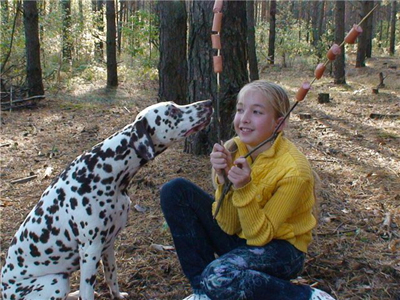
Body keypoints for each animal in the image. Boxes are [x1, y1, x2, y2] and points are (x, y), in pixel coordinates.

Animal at [0, 100, 212, 300]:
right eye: (172, 110)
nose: (209, 103)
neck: (105, 170)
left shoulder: (108, 244)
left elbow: (112, 275)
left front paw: (117, 295)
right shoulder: (90, 250)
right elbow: (87, 292)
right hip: (56, 281)